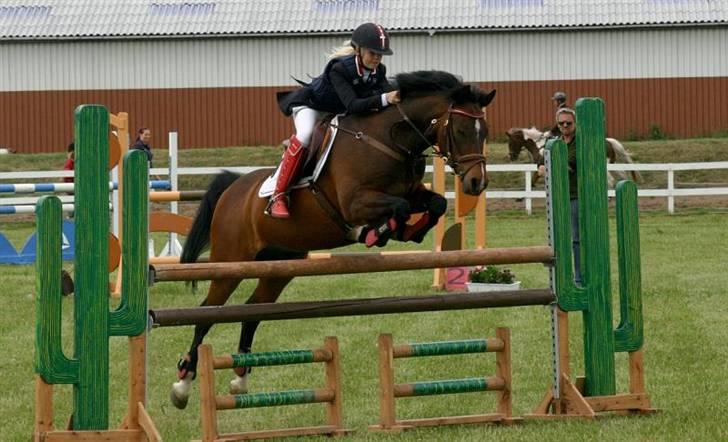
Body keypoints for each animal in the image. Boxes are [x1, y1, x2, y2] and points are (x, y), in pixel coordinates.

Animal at [168, 70, 498, 408]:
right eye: (460, 130)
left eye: (484, 131)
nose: (477, 183)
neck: (390, 140)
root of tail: (233, 188)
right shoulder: (355, 203)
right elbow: (399, 207)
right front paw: (376, 231)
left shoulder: (411, 192)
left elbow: (436, 204)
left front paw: (405, 231)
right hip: (231, 262)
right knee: (207, 314)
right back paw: (183, 384)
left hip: (279, 264)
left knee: (252, 312)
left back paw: (240, 378)